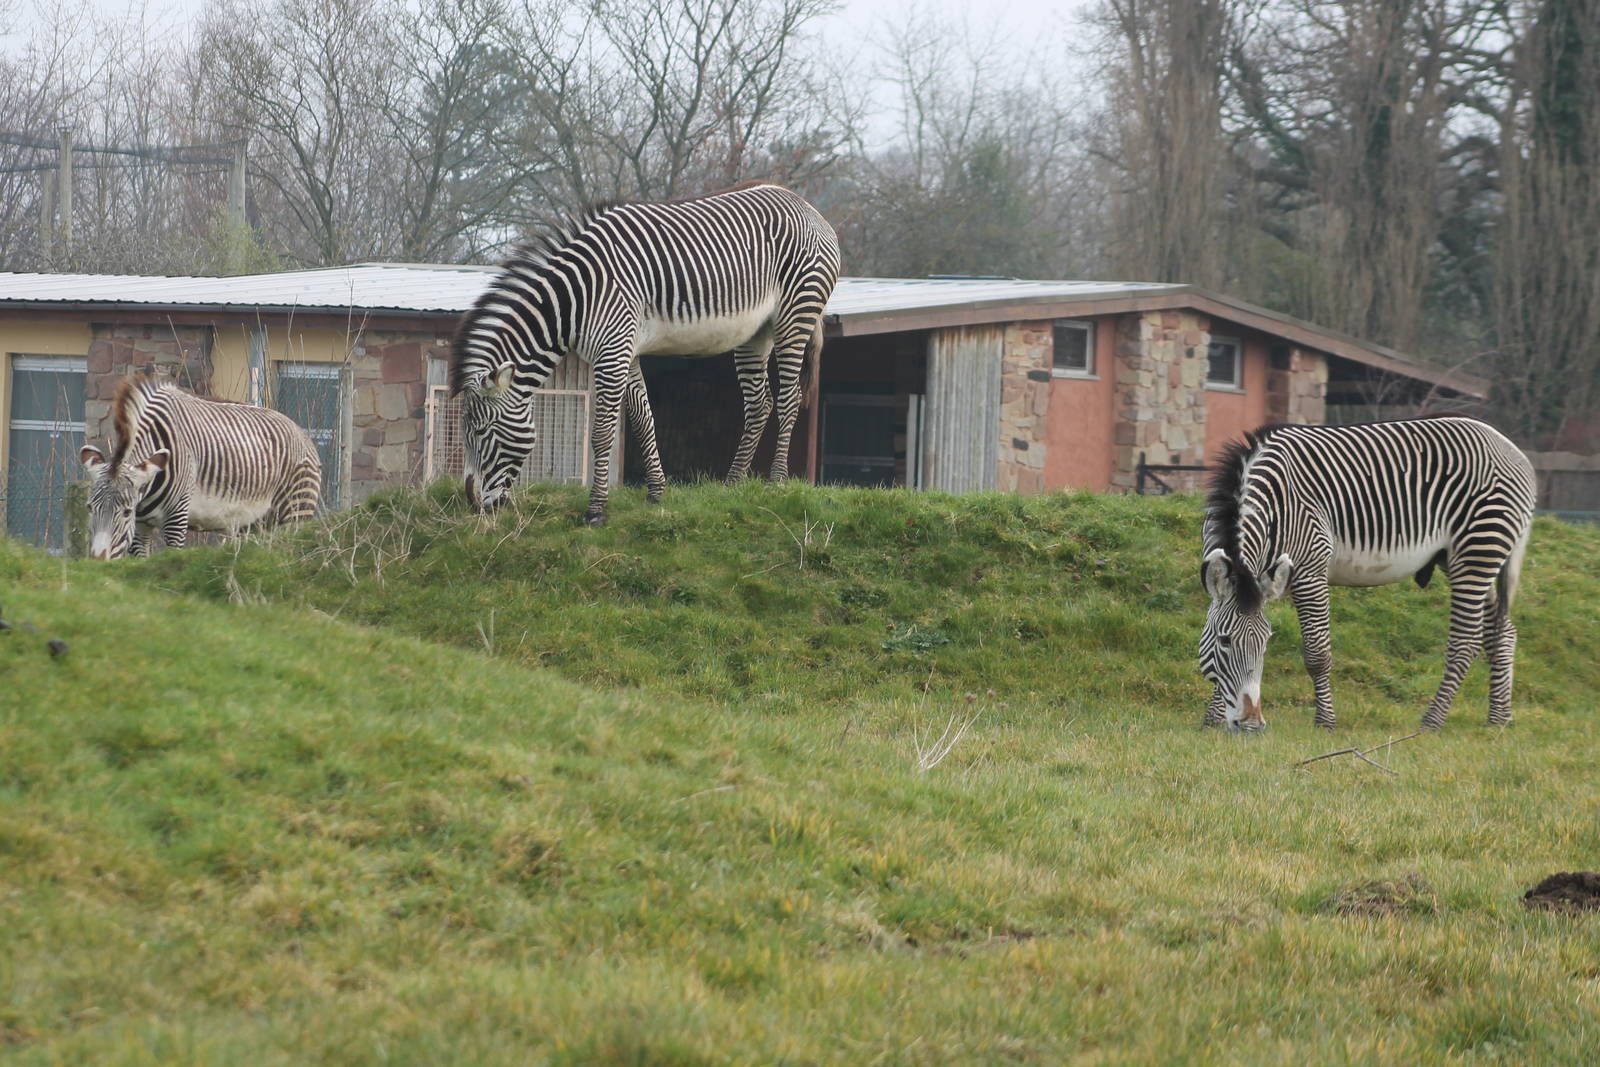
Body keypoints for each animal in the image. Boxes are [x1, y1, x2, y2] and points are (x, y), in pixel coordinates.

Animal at [79, 376, 322, 559]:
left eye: (126, 512)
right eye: (89, 508)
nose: (98, 561)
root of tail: (302, 433)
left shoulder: (177, 515)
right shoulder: (140, 524)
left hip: (295, 512)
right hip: (256, 522)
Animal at [450, 181, 841, 525]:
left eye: (482, 431)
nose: (473, 504)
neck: (575, 300)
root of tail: (808, 207)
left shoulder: (612, 351)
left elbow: (603, 433)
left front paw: (596, 511)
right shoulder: (625, 350)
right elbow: (642, 418)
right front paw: (656, 493)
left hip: (795, 314)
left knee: (790, 397)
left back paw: (776, 482)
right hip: (755, 333)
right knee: (760, 403)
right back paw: (733, 484)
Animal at [1198, 417, 1536, 732]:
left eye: (1267, 642)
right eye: (1224, 640)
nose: (1251, 725)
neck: (1273, 501)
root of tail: (1513, 449)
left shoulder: (1311, 569)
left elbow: (1317, 654)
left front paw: (1326, 723)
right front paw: (1214, 720)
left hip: (1478, 550)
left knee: (1466, 640)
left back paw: (1432, 722)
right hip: (1467, 558)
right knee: (1503, 632)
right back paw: (1498, 719)